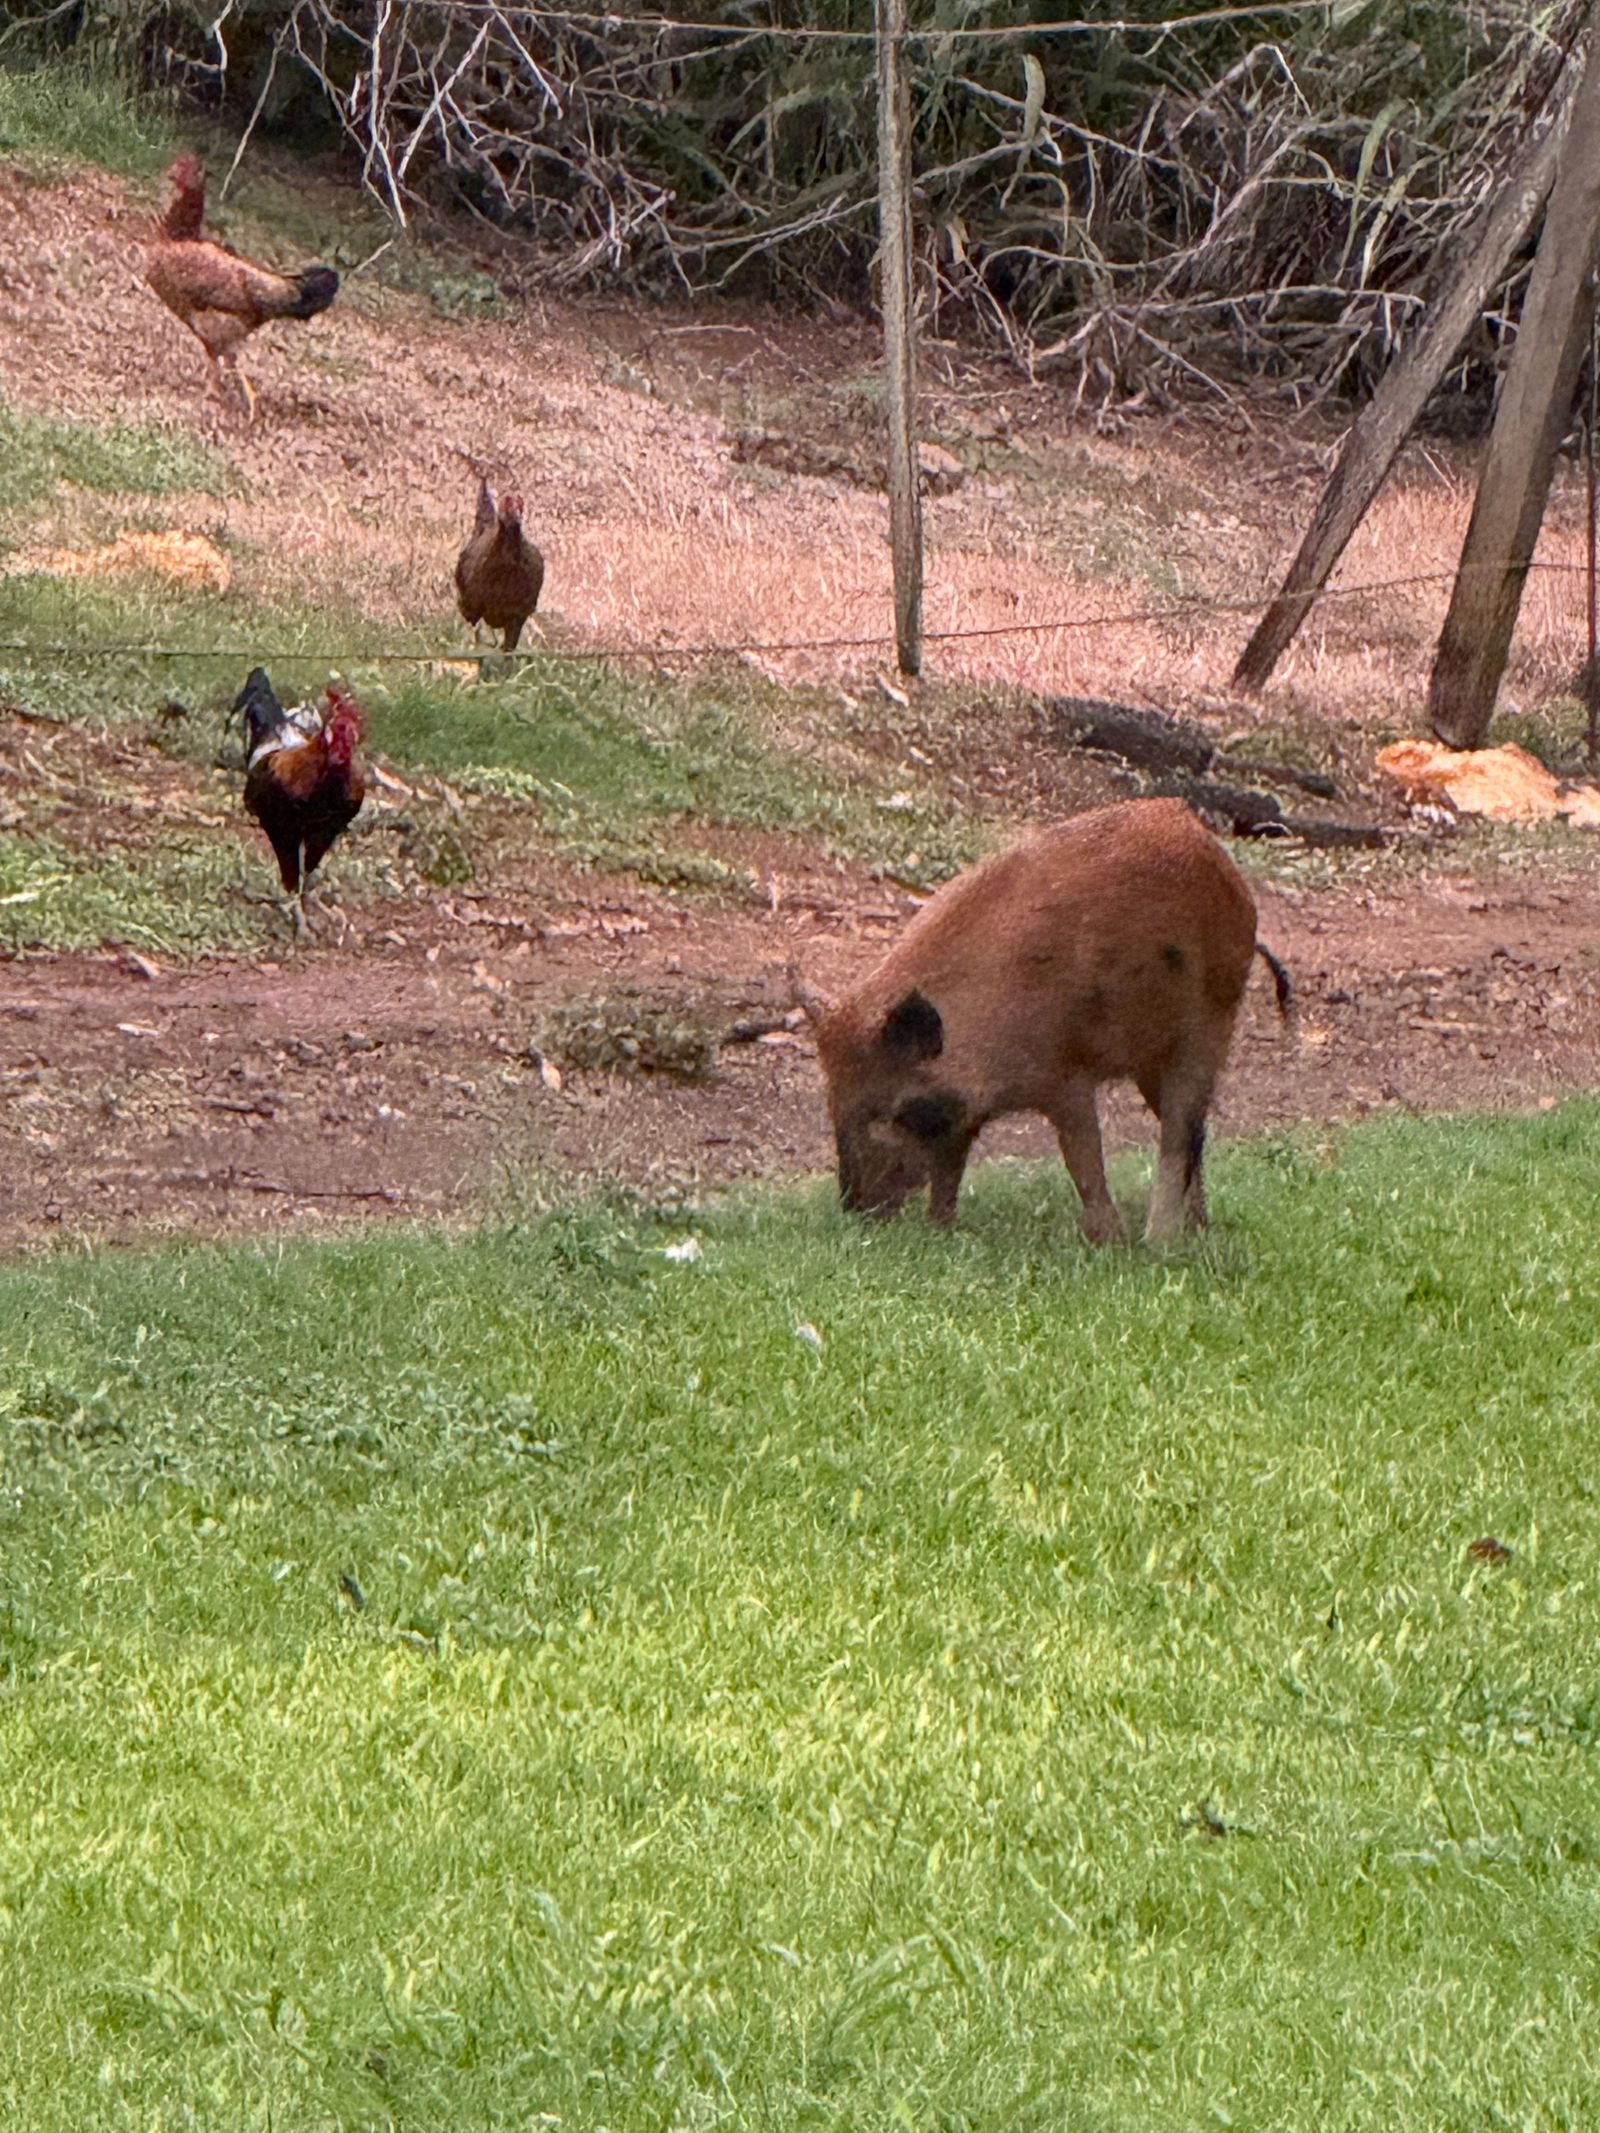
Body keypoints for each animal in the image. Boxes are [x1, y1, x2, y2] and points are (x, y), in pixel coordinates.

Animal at [797, 799, 1291, 1242]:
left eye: (887, 1111)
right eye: (832, 1099)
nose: (855, 1208)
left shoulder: (1064, 1075)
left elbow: (1082, 1157)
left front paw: (1109, 1242)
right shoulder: (966, 1113)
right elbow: (950, 1167)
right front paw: (941, 1230)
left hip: (1210, 1026)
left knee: (1180, 1134)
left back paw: (1158, 1244)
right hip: (1153, 1057)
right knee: (1197, 1135)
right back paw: (1197, 1230)